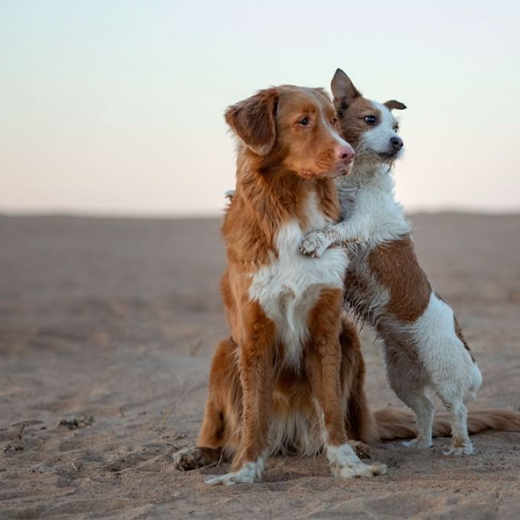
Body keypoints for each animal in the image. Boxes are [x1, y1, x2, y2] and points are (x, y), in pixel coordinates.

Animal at [300, 70, 484, 456]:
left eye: (395, 125)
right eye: (371, 119)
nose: (398, 142)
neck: (356, 179)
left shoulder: (360, 224)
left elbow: (334, 231)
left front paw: (315, 240)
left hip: (444, 374)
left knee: (456, 409)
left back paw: (459, 446)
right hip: (402, 378)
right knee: (425, 407)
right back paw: (420, 443)